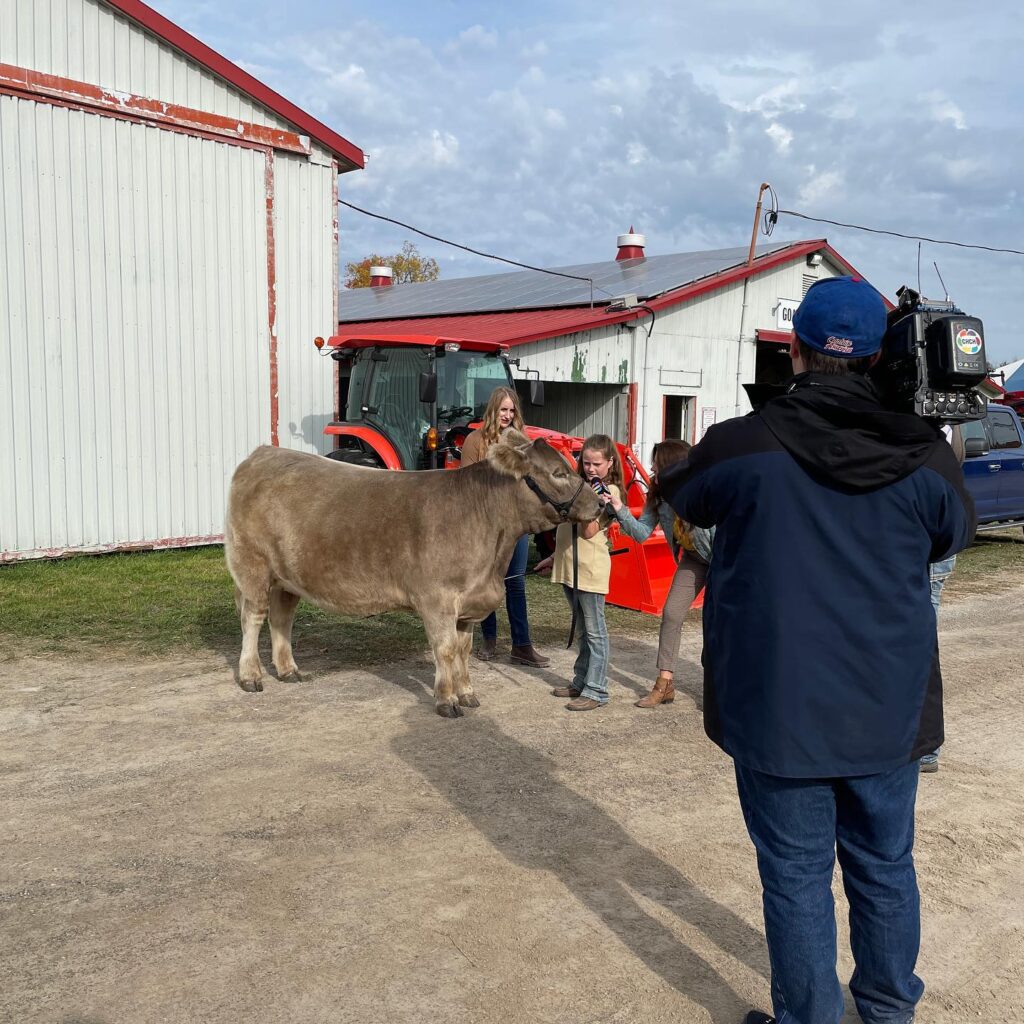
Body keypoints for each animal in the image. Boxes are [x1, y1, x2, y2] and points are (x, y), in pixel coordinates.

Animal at [224, 434, 598, 720]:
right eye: (558, 472)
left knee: (281, 619)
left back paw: (288, 670)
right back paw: (251, 676)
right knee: (253, 617)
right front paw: (446, 700)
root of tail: (264, 452)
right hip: (252, 565)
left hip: (287, 577)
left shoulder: (469, 604)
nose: (601, 505)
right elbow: (445, 650)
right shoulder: (437, 599)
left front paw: (467, 693)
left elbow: (464, 650)